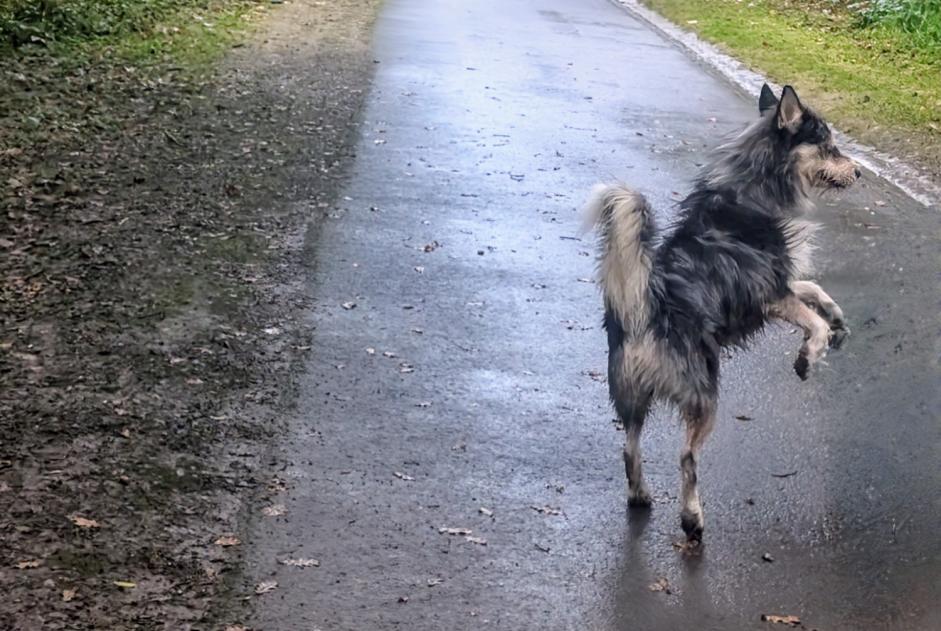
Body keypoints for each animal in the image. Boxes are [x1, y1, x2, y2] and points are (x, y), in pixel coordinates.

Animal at [584, 84, 864, 544]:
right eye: (827, 145)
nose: (859, 173)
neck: (754, 184)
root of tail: (646, 310)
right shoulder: (771, 296)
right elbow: (812, 320)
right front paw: (809, 356)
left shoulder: (781, 285)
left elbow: (815, 291)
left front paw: (838, 320)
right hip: (705, 398)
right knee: (686, 459)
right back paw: (692, 520)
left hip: (631, 398)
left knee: (629, 449)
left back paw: (641, 496)